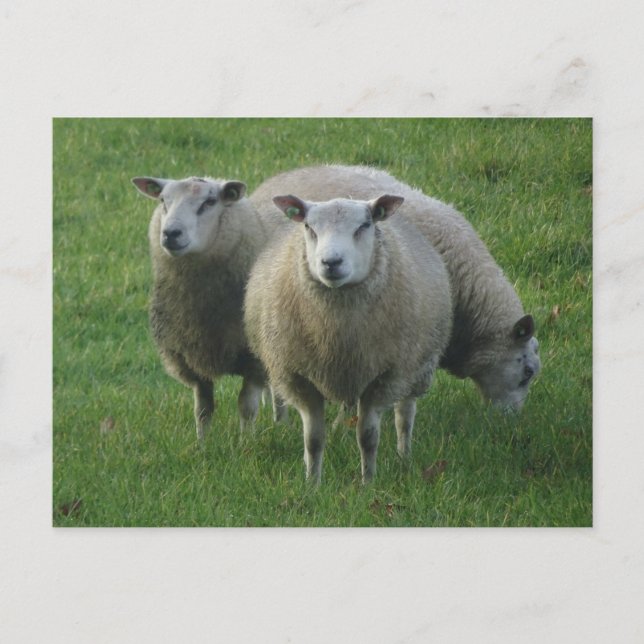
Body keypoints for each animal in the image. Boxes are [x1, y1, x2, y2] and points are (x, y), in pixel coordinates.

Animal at [132, 175, 288, 440]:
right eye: (163, 200)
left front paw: (245, 443)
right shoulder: (191, 358)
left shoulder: (253, 361)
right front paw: (201, 444)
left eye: (209, 202)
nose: (171, 233)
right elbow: (203, 410)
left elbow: (246, 406)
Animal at [244, 194, 452, 484]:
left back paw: (404, 456)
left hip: (416, 367)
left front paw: (368, 483)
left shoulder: (384, 377)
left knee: (405, 415)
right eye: (309, 226)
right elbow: (313, 440)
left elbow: (367, 438)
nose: (331, 262)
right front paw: (312, 484)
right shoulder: (299, 377)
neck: (336, 333)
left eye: (364, 225)